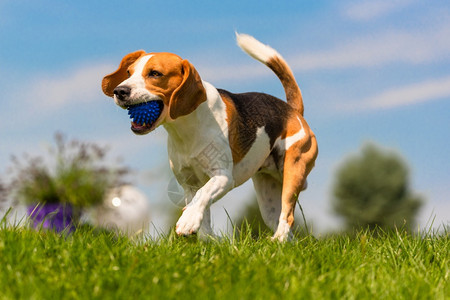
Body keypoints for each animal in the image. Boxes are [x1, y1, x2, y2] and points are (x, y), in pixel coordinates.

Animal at [103, 33, 318, 241]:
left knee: (288, 216)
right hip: (267, 195)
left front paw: (187, 220)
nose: (119, 91)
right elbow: (202, 209)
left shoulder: (222, 177)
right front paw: (205, 238)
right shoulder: (189, 183)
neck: (185, 129)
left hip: (293, 171)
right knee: (281, 222)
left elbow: (203, 194)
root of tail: (293, 110)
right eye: (128, 73)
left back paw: (277, 239)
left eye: (155, 73)